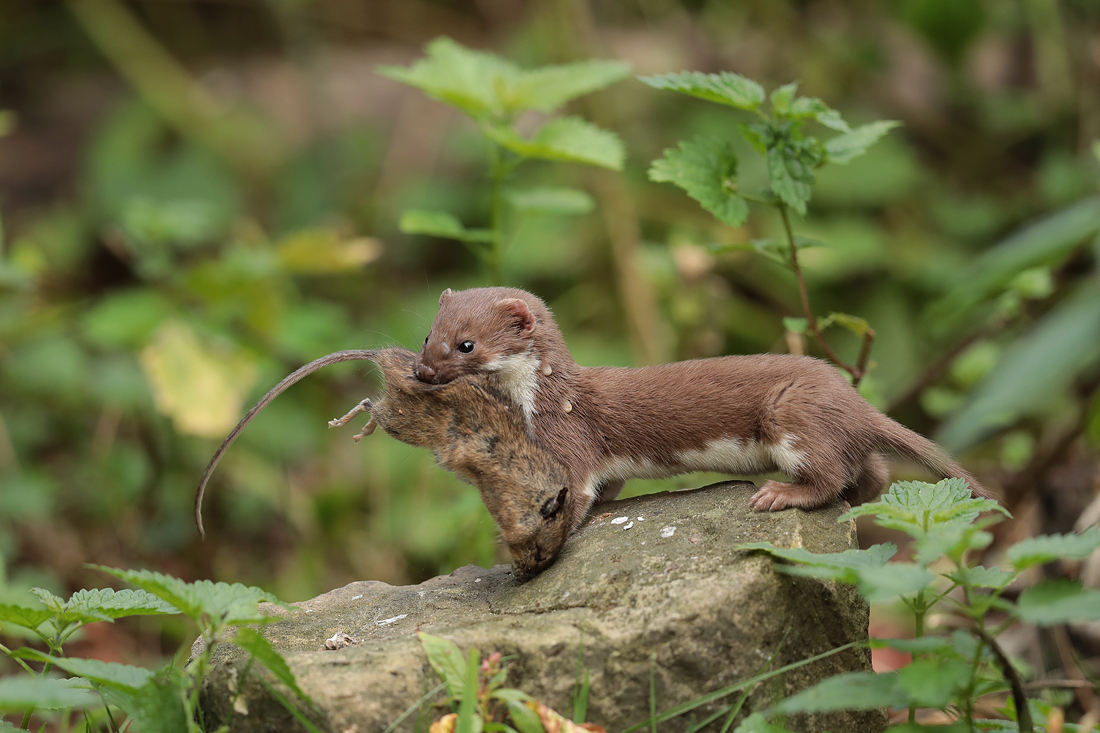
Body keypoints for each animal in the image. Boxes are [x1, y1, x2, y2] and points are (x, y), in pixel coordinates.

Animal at [413, 286, 998, 530]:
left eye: (466, 345)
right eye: (427, 334)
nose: (422, 371)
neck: (535, 404)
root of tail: (852, 397)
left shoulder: (571, 442)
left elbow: (576, 495)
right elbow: (608, 487)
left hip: (791, 414)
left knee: (829, 475)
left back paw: (779, 494)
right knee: (871, 471)